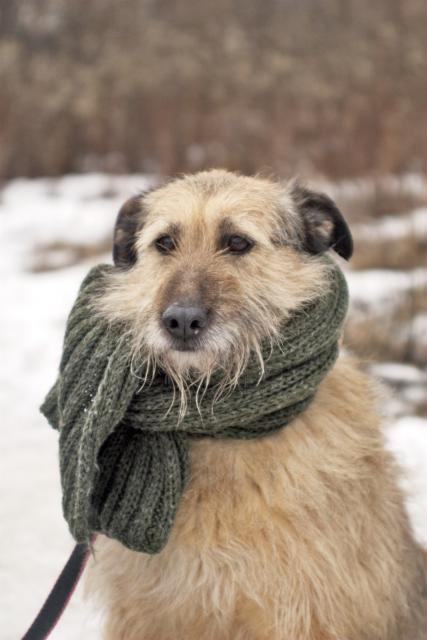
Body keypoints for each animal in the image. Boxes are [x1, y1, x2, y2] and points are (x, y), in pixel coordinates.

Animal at [86, 171, 424, 640]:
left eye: (238, 242)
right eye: (164, 243)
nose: (180, 321)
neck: (221, 426)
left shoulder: (306, 611)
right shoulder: (148, 614)